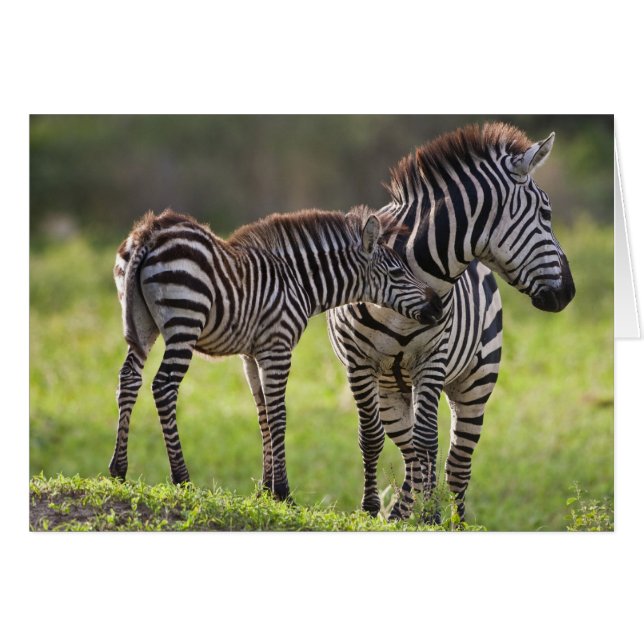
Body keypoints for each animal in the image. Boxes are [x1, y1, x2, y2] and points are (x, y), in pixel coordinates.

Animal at [109, 206, 443, 500]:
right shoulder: (278, 347)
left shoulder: (252, 354)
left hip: (142, 323)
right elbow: (279, 414)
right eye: (397, 272)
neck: (298, 281)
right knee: (164, 386)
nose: (438, 307)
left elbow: (264, 415)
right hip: (184, 322)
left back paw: (118, 470)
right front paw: (283, 492)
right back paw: (182, 478)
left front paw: (266, 490)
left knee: (129, 378)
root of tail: (149, 232)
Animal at [327, 122, 576, 521]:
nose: (568, 292)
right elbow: (371, 437)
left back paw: (452, 522)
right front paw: (370, 510)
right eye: (545, 214)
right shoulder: (358, 362)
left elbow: (429, 439)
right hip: (390, 387)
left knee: (456, 462)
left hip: (475, 381)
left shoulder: (432, 358)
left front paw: (430, 517)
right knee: (408, 448)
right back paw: (400, 515)